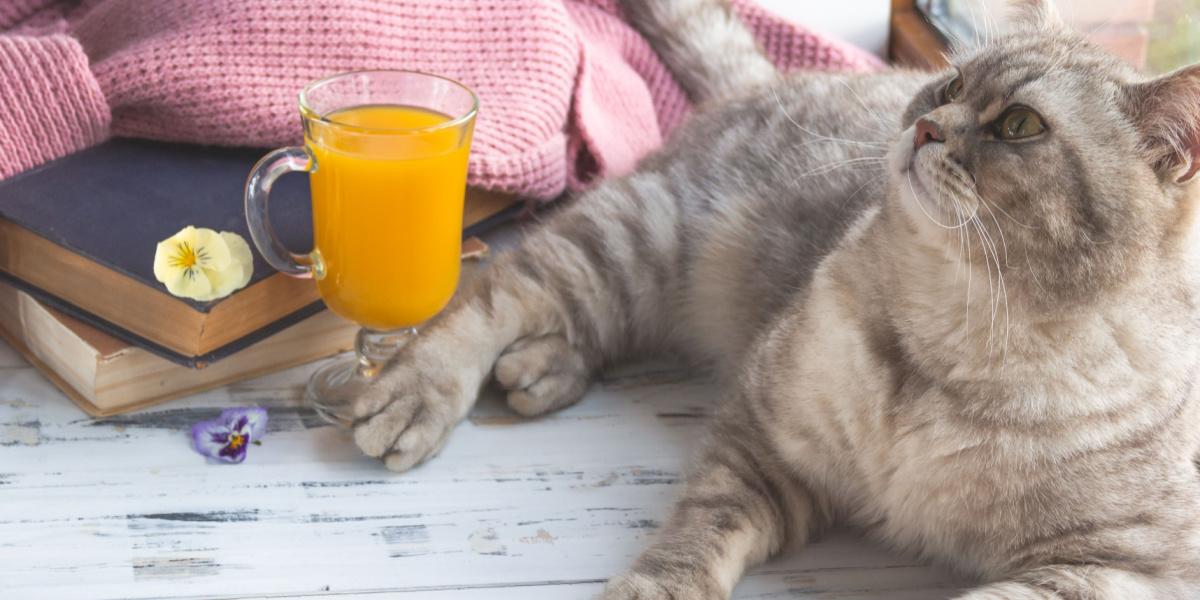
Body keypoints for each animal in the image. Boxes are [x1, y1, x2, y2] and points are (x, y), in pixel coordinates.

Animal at [348, 1, 1200, 595]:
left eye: (1021, 125)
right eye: (951, 83)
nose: (927, 125)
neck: (960, 342)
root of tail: (776, 78)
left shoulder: (1112, 568)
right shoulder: (763, 440)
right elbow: (695, 538)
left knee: (577, 324)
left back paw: (542, 368)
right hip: (634, 237)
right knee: (496, 296)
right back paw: (419, 391)